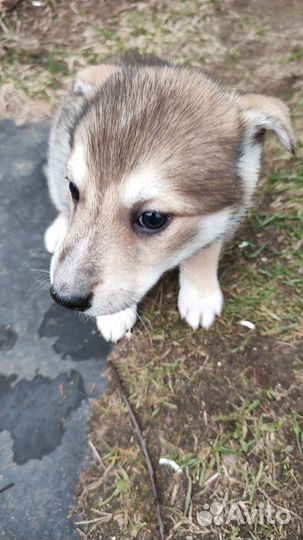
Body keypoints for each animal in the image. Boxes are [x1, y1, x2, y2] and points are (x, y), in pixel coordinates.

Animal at [44, 53, 296, 342]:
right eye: (74, 189)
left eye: (153, 218)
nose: (63, 298)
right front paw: (114, 316)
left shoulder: (228, 214)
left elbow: (204, 251)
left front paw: (200, 295)